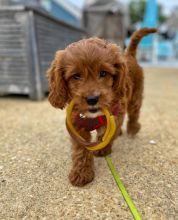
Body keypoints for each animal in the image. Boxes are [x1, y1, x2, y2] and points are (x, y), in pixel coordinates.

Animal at [47, 27, 156, 186]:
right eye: (76, 76)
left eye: (103, 73)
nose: (92, 99)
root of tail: (129, 55)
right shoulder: (76, 125)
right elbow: (80, 149)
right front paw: (81, 172)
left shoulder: (116, 114)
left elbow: (106, 133)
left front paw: (103, 148)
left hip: (135, 97)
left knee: (134, 115)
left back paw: (132, 129)